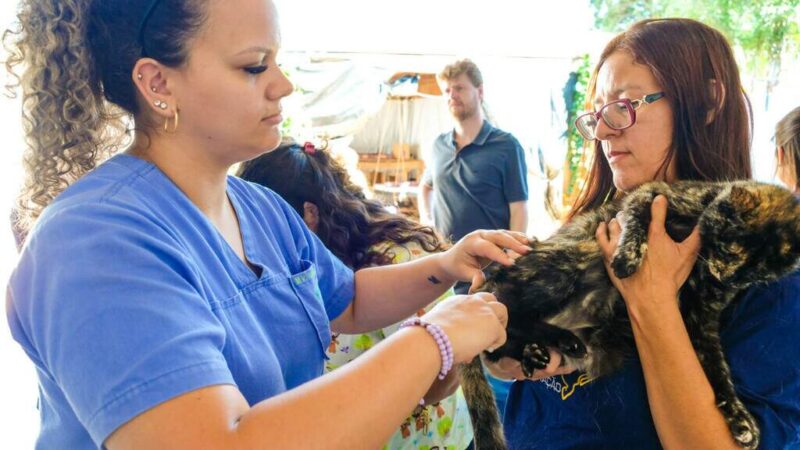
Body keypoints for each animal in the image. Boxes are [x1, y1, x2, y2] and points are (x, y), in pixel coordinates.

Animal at [460, 180, 800, 450]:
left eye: (755, 275)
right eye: (729, 249)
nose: (724, 278)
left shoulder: (701, 316)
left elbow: (717, 369)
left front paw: (741, 420)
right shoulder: (651, 195)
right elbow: (636, 223)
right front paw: (627, 259)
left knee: (503, 341)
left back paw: (539, 351)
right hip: (575, 254)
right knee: (507, 311)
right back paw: (557, 339)